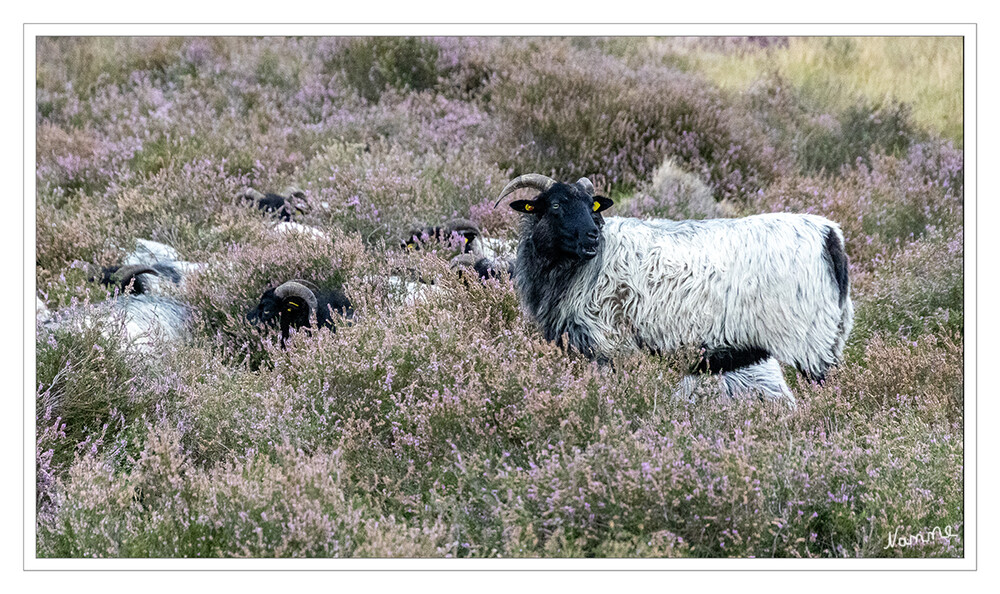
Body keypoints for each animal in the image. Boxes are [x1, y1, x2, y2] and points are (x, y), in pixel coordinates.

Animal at [492, 171, 852, 402]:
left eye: (589, 205)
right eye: (554, 205)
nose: (592, 235)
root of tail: (829, 234)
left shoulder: (608, 345)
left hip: (810, 343)